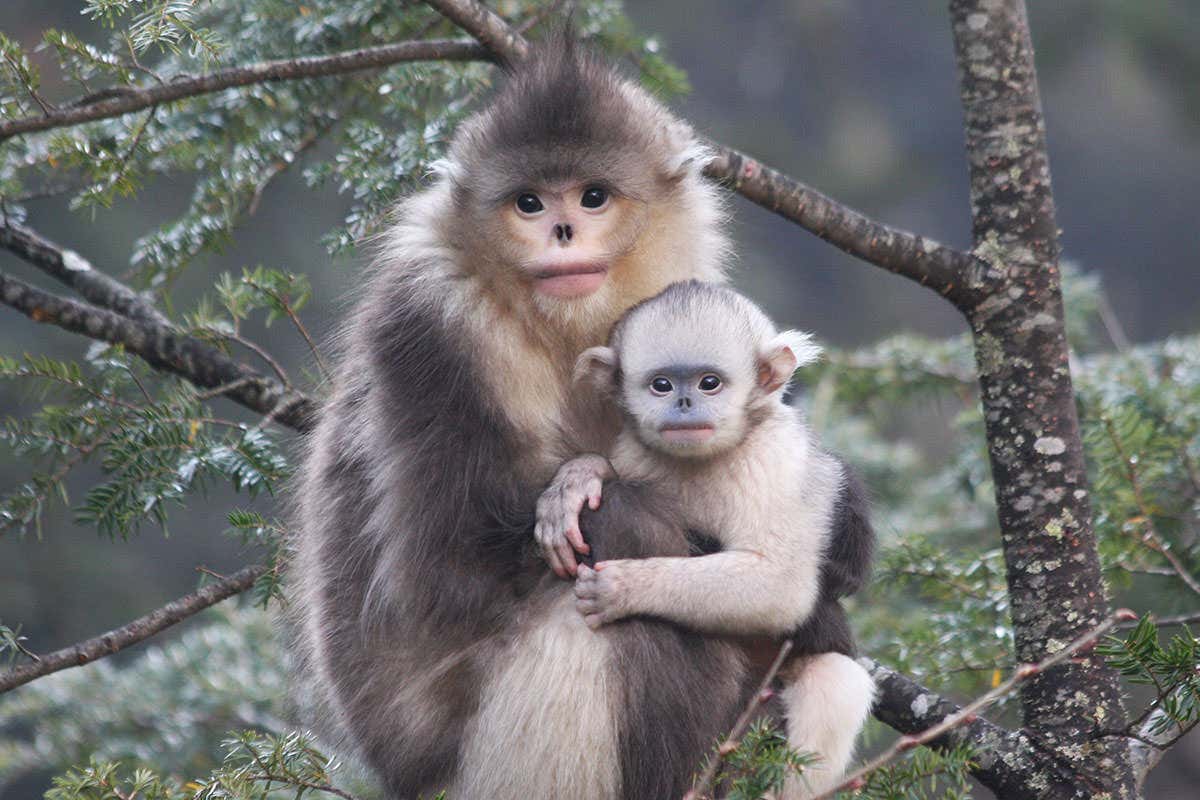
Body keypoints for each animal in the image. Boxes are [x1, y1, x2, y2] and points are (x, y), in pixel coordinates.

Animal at [289, 33, 763, 800]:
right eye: (529, 202)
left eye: (593, 196)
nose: (563, 229)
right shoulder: (433, 322)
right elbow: (446, 571)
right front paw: (578, 485)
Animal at [535, 280, 877, 797]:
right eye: (662, 385)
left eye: (709, 383)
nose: (684, 404)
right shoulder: (635, 452)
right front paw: (579, 479)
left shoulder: (775, 459)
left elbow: (778, 586)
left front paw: (625, 589)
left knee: (835, 678)